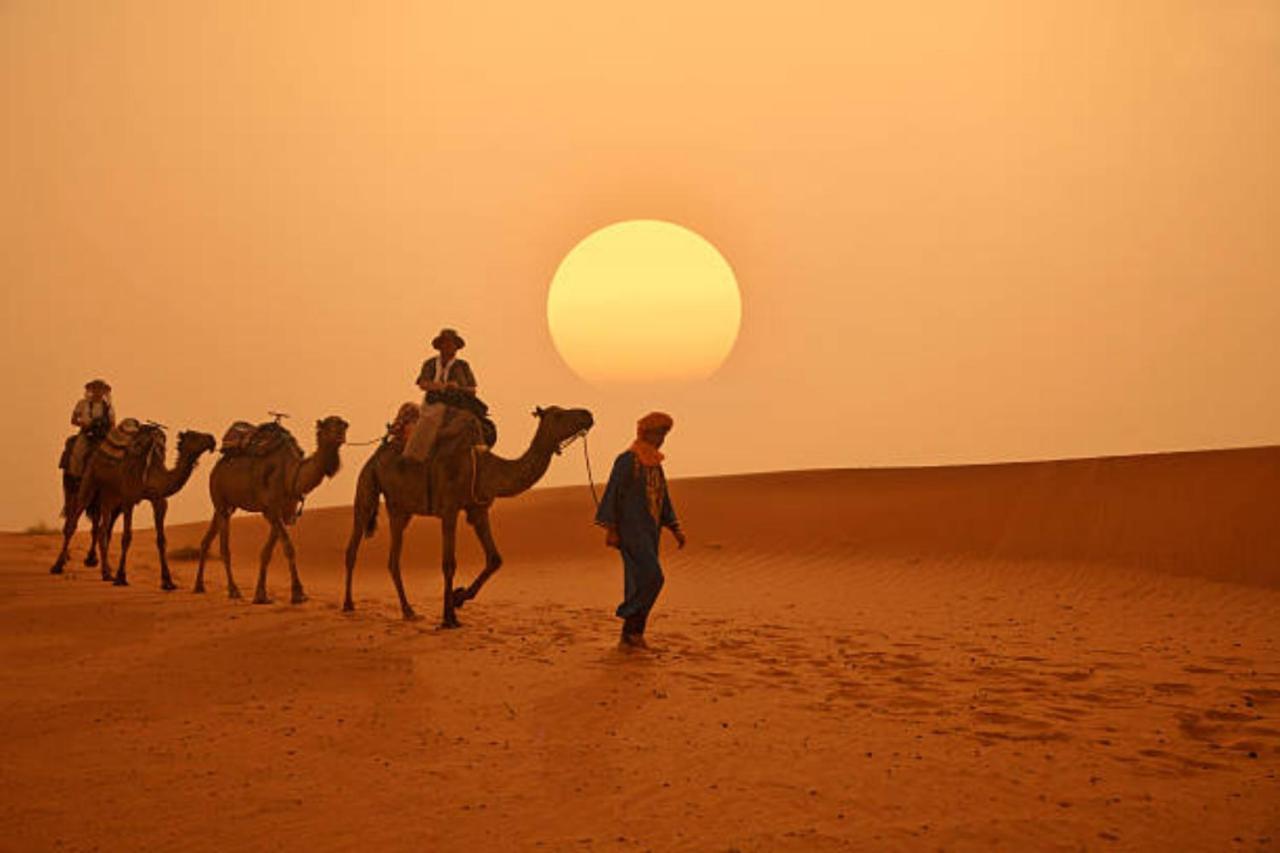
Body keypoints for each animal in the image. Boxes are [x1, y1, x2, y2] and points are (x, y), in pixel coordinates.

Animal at [51, 427, 217, 589]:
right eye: (194, 435)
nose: (212, 439)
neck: (153, 474)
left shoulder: (159, 500)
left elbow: (161, 539)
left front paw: (167, 581)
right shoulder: (128, 500)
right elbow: (126, 537)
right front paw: (121, 577)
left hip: (108, 496)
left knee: (102, 530)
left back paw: (106, 572)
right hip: (89, 484)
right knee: (73, 523)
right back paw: (58, 566)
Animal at [192, 412, 350, 601]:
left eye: (342, 423)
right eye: (329, 425)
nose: (343, 428)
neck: (291, 475)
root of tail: (217, 467)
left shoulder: (284, 512)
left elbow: (267, 552)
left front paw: (261, 594)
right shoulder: (272, 510)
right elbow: (288, 547)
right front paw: (298, 592)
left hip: (226, 506)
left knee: (207, 540)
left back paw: (199, 585)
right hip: (218, 494)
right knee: (224, 547)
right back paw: (233, 590)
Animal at [345, 402, 593, 622]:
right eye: (558, 415)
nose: (587, 415)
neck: (485, 468)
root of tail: (376, 455)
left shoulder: (478, 510)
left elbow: (495, 559)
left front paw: (459, 597)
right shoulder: (449, 509)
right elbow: (449, 564)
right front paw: (449, 618)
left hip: (400, 509)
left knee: (393, 559)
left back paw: (408, 611)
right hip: (367, 484)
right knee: (354, 544)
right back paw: (348, 604)